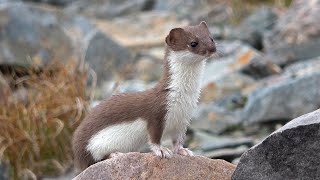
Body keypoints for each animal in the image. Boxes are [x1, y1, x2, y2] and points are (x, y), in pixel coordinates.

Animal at [72, 21, 216, 170]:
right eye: (193, 43)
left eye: (211, 38)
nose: (212, 49)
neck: (184, 98)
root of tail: (77, 152)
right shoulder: (157, 113)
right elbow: (154, 137)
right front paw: (162, 150)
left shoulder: (183, 119)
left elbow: (178, 139)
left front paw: (184, 150)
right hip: (93, 146)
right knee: (94, 161)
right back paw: (115, 154)